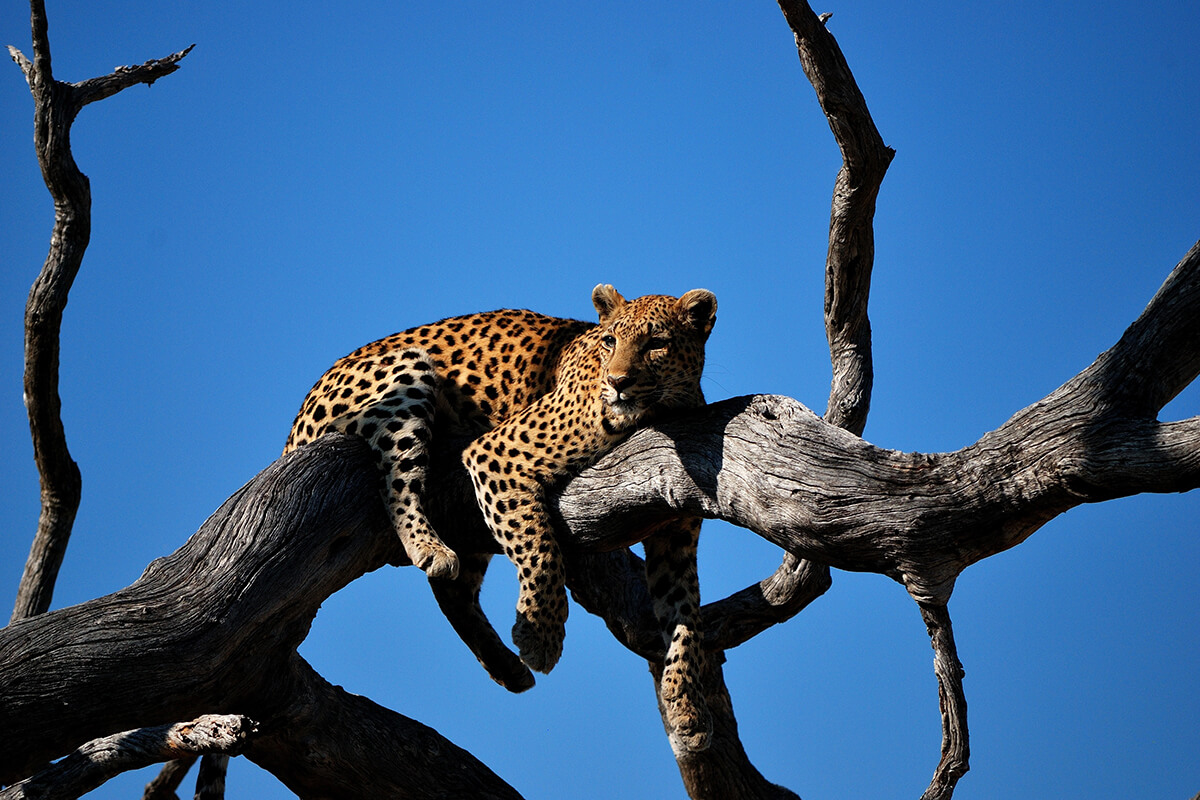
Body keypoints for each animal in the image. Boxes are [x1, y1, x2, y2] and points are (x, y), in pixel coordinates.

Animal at [285, 284, 716, 751]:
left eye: (657, 344)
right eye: (609, 341)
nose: (618, 383)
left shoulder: (675, 538)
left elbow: (685, 616)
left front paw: (688, 708)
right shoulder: (497, 454)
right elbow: (539, 547)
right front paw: (541, 636)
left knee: (453, 591)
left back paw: (505, 667)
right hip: (406, 373)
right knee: (396, 480)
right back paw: (429, 547)